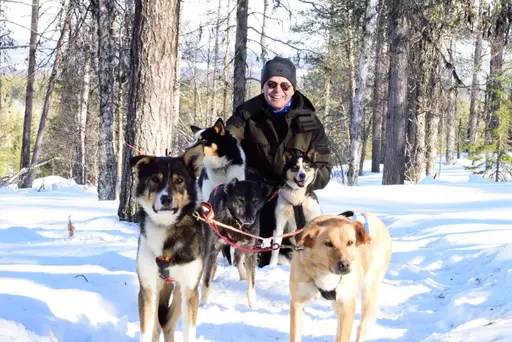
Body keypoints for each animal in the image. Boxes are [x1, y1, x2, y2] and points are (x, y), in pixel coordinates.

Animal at [288, 212, 392, 340]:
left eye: (350, 242)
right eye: (328, 244)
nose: (345, 265)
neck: (326, 274)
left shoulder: (347, 305)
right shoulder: (297, 303)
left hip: (369, 293)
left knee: (361, 328)